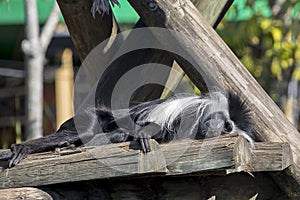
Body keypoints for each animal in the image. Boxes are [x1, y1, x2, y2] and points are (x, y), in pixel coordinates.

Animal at [8, 90, 254, 167]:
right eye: (225, 122)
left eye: (228, 128)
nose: (220, 128)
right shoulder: (188, 109)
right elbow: (154, 122)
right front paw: (144, 133)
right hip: (88, 119)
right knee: (83, 131)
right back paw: (24, 148)